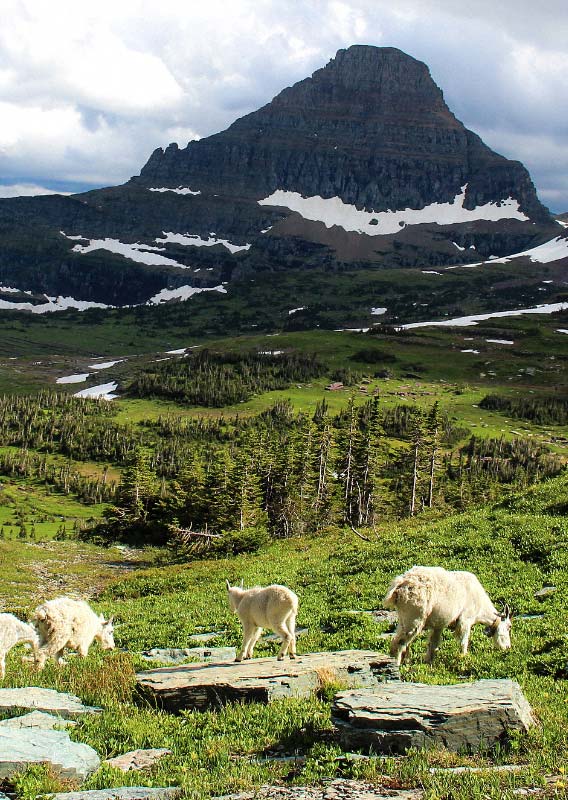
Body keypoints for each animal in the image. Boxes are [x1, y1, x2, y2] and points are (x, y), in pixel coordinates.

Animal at [384, 564, 512, 664]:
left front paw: (429, 662)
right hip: (414, 615)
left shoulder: (438, 625)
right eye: (509, 626)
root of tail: (399, 585)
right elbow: (463, 641)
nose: (507, 647)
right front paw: (464, 657)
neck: (480, 605)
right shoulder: (466, 619)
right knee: (399, 641)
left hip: (403, 617)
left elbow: (433, 644)